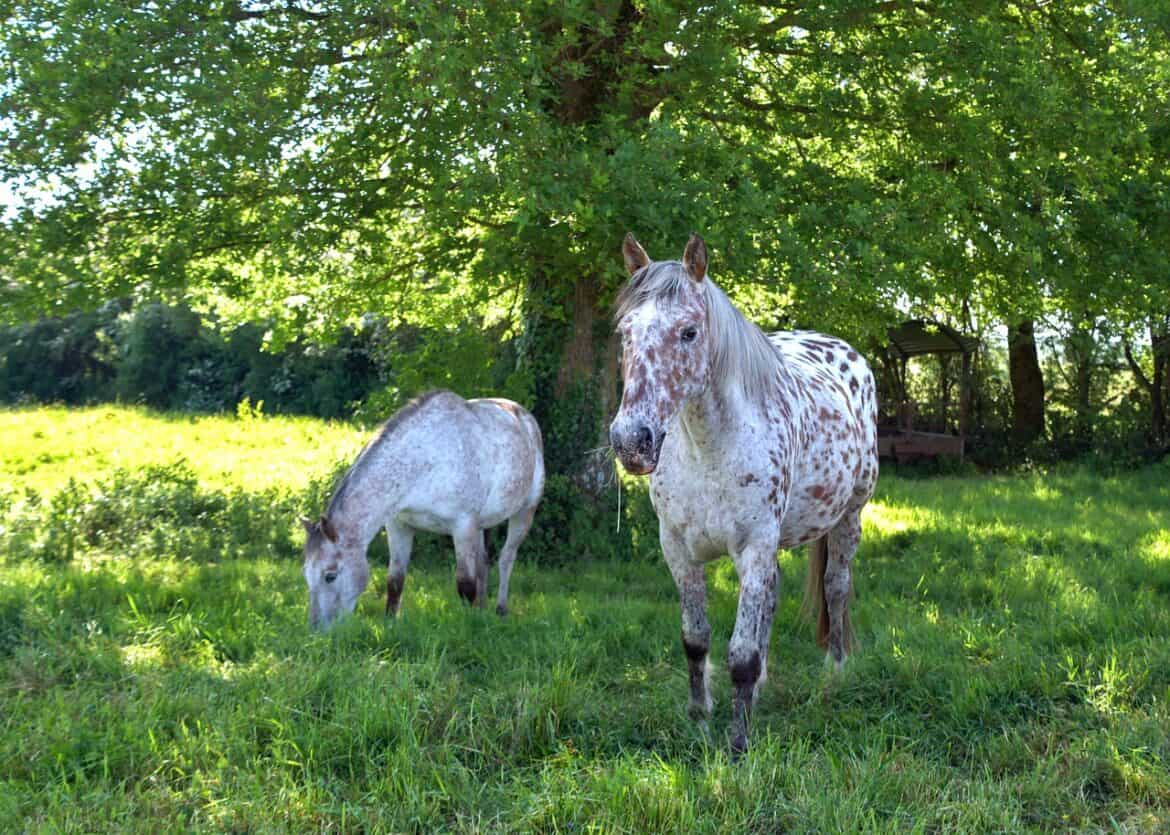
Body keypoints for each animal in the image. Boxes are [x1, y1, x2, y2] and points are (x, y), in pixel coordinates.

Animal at [301, 390, 545, 630]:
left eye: (330, 576)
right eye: (306, 574)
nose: (316, 631)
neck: (424, 461)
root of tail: (524, 416)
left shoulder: (462, 526)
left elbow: (465, 585)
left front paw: (469, 625)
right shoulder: (399, 525)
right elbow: (395, 581)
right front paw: (390, 624)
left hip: (524, 512)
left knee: (506, 559)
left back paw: (500, 609)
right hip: (480, 526)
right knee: (483, 563)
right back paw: (483, 609)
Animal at [609, 233, 879, 756]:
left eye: (689, 332)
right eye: (625, 331)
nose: (632, 440)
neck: (709, 448)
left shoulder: (753, 547)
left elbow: (741, 653)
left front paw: (738, 743)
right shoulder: (678, 549)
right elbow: (696, 639)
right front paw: (699, 718)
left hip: (848, 518)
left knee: (836, 588)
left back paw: (834, 672)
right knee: (773, 596)